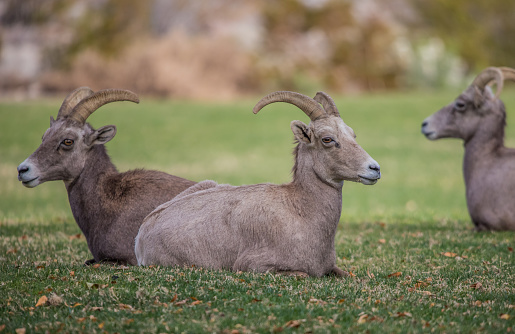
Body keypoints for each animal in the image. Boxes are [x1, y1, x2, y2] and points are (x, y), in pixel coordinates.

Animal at [135, 90, 380, 276]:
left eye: (352, 135)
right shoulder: (256, 266)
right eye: (327, 139)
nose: (374, 168)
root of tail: (142, 235)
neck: (301, 213)